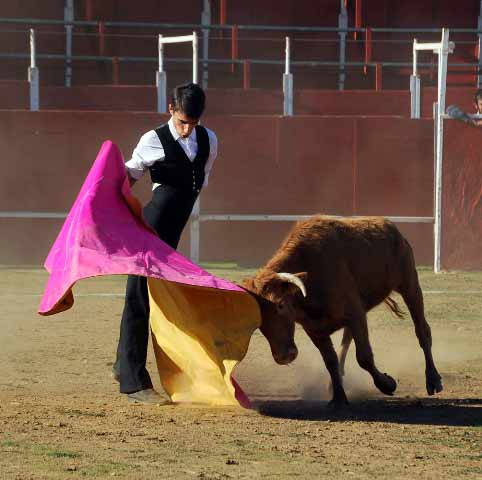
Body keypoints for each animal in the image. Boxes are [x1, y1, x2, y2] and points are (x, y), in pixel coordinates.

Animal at [243, 216, 442, 406]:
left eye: (280, 305)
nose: (283, 356)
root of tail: (392, 228)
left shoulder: (356, 315)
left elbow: (364, 357)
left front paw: (387, 384)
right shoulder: (315, 328)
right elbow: (330, 360)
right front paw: (338, 398)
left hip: (410, 285)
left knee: (422, 331)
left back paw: (433, 380)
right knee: (346, 339)